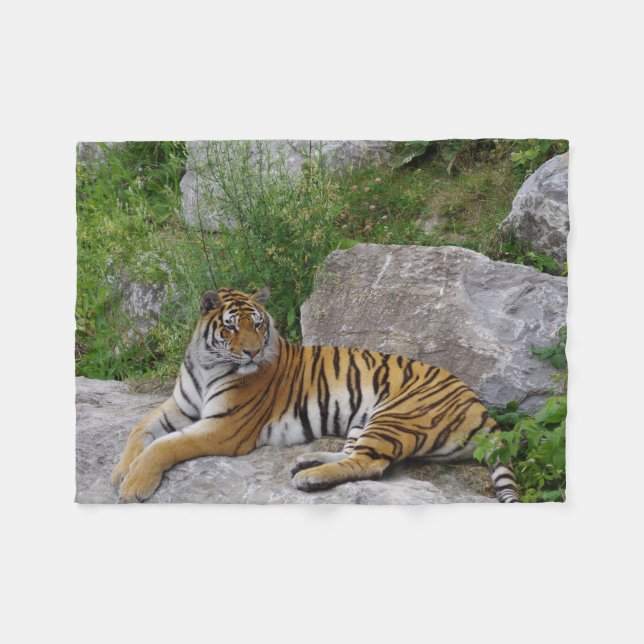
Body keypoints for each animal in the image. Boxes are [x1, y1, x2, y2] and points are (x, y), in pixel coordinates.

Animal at [111, 287, 520, 503]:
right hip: (363, 420)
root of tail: (480, 405)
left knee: (371, 464)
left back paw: (309, 478)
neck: (207, 364)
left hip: (394, 415)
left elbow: (166, 446)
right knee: (353, 454)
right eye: (231, 328)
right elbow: (139, 430)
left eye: (258, 325)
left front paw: (134, 486)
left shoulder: (224, 428)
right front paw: (119, 472)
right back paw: (307, 461)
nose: (253, 353)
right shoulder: (178, 406)